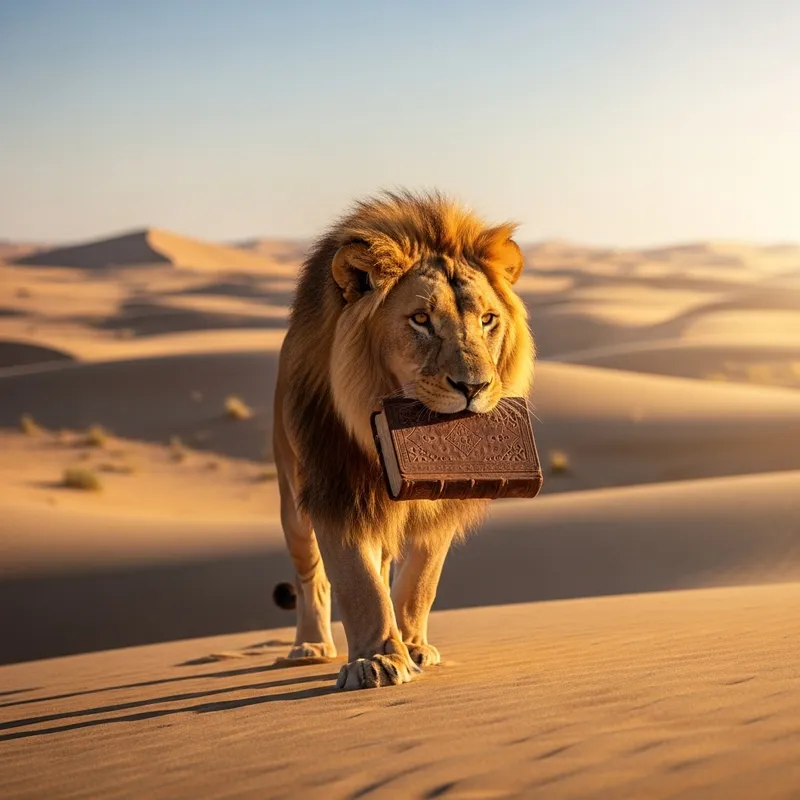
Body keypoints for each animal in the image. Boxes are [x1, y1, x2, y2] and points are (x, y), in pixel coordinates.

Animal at [272, 190, 534, 689]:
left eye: (488, 319)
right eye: (420, 319)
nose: (473, 387)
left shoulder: (440, 504)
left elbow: (420, 581)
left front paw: (410, 645)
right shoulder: (336, 487)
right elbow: (356, 581)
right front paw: (375, 660)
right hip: (291, 496)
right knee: (309, 574)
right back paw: (309, 647)